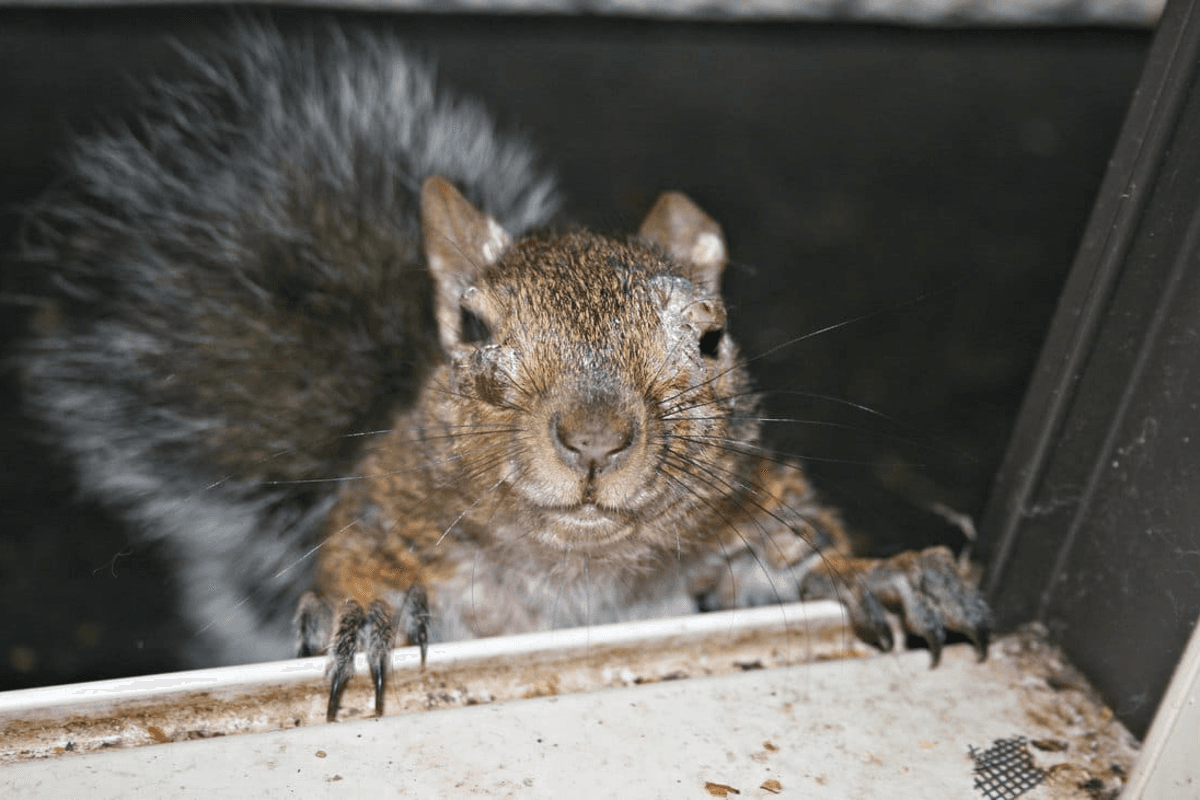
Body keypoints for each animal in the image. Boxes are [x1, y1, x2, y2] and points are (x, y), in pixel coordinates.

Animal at [17, 21, 988, 721]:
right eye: (474, 329)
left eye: (713, 338)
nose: (594, 440)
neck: (580, 566)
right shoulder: (386, 514)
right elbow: (353, 569)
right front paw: (365, 614)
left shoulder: (746, 532)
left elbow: (797, 566)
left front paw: (887, 572)